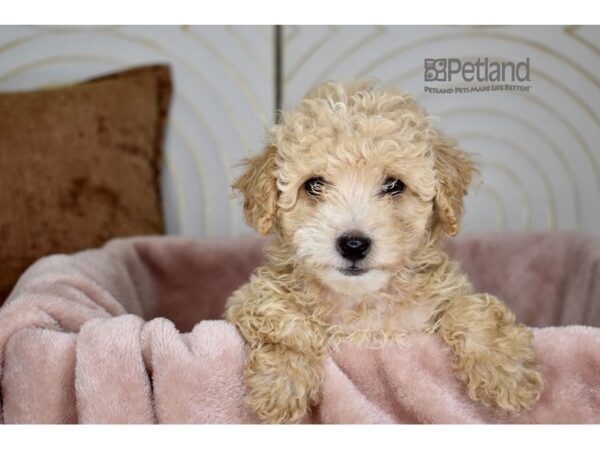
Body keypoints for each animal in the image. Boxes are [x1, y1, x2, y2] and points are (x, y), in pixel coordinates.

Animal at [225, 80, 544, 422]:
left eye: (393, 185)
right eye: (313, 185)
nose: (353, 244)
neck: (362, 298)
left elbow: (469, 308)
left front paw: (507, 373)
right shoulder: (249, 296)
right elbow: (282, 317)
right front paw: (280, 385)